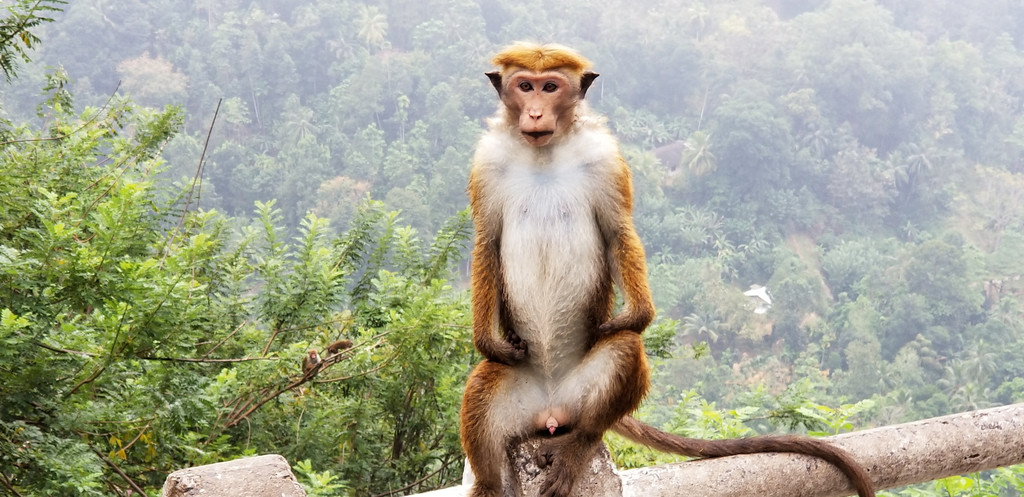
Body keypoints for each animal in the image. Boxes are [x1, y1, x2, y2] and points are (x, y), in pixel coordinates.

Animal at [460, 41, 876, 495]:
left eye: (550, 87)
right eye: (525, 86)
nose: (535, 113)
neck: (544, 152)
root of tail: (551, 410)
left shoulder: (604, 156)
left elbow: (617, 230)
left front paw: (638, 314)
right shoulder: (487, 160)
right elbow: (487, 240)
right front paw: (487, 340)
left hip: (580, 395)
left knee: (623, 352)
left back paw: (579, 444)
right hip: (519, 389)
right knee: (483, 392)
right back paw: (488, 483)